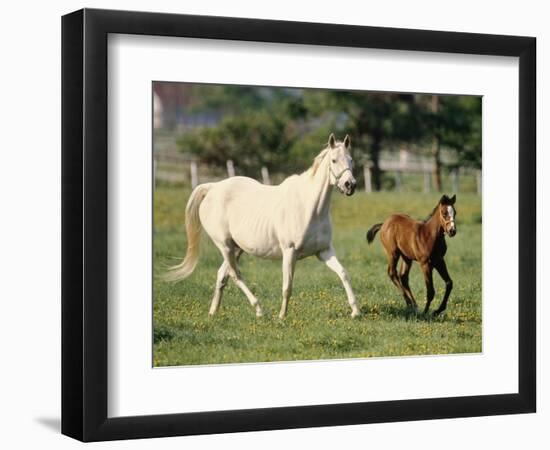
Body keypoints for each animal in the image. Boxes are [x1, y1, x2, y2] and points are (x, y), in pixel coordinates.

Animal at [166, 134, 364, 320]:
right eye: (334, 160)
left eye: (351, 160)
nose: (350, 185)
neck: (309, 207)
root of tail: (212, 188)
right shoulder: (290, 252)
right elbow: (287, 287)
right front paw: (282, 316)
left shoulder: (324, 251)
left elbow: (344, 274)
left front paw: (355, 311)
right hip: (225, 246)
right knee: (235, 275)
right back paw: (259, 310)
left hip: (237, 248)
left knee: (222, 275)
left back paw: (213, 312)